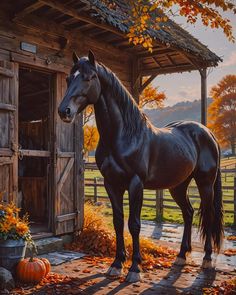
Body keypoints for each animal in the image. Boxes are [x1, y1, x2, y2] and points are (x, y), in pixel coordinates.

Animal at [58, 52, 223, 284]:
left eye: (89, 77)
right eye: (68, 78)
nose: (64, 111)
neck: (124, 135)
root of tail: (207, 133)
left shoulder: (136, 184)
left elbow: (134, 224)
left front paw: (135, 268)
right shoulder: (111, 184)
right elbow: (118, 222)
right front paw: (116, 264)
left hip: (205, 183)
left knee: (207, 215)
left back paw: (207, 259)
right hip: (178, 186)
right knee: (188, 213)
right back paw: (181, 256)